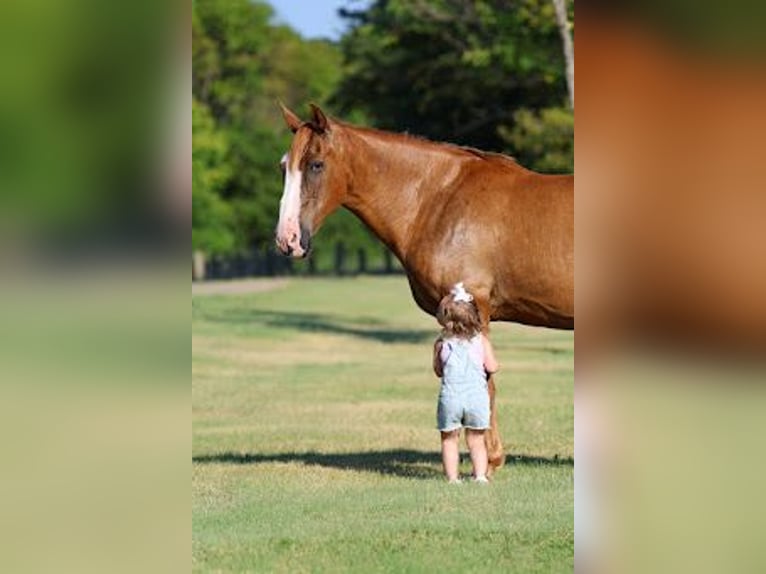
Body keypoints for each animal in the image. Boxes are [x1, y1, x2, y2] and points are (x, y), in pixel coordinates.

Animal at [275, 103, 573, 473]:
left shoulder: (475, 310)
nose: (287, 239)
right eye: (285, 166)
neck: (438, 199)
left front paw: (489, 461)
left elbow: (485, 383)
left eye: (316, 164)